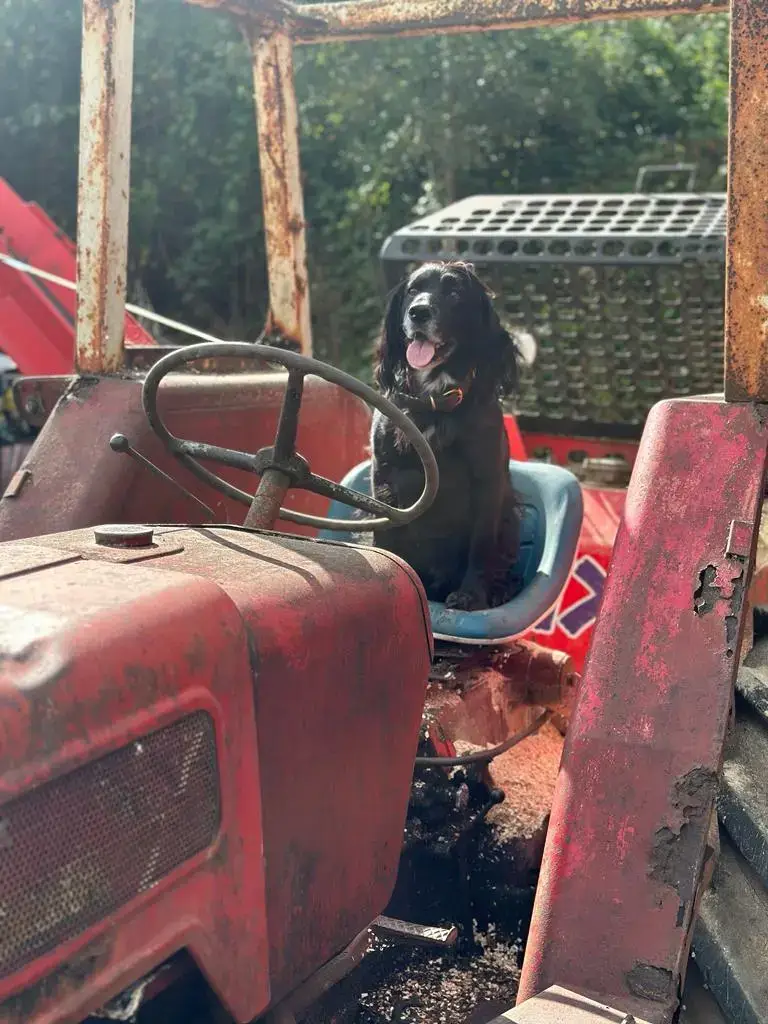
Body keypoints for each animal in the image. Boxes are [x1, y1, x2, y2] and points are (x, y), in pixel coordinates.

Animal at [370, 261, 526, 611]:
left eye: (454, 293)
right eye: (413, 290)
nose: (418, 312)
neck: (433, 401)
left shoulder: (487, 482)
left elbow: (480, 543)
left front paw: (471, 595)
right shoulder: (384, 477)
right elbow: (385, 534)